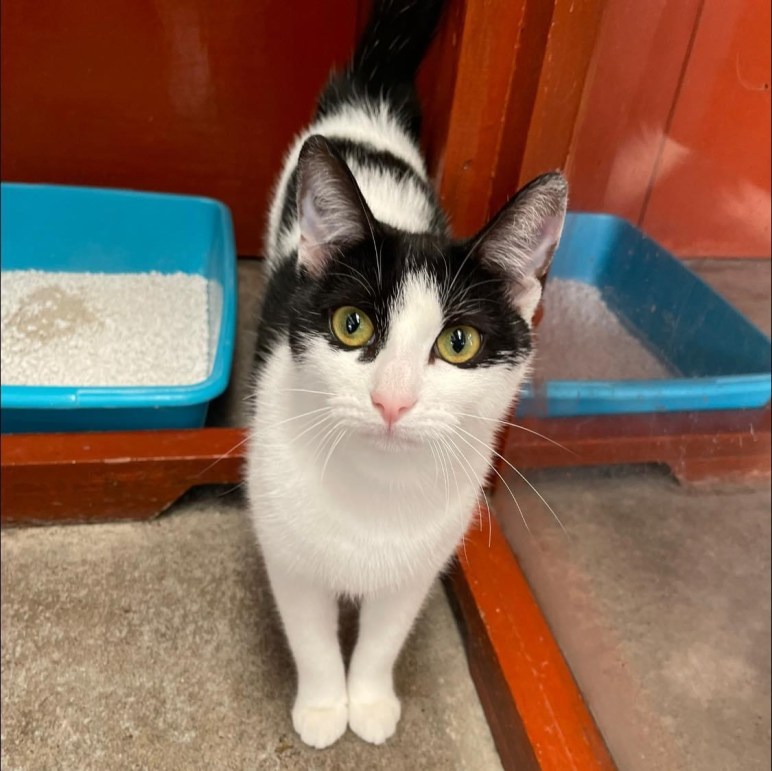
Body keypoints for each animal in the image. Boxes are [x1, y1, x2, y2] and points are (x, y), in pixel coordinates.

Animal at [246, 0, 567, 749]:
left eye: (458, 342)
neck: (378, 490)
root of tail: (366, 105)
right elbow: (310, 634)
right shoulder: (288, 552)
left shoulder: (419, 566)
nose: (391, 400)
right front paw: (324, 706)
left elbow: (383, 637)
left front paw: (367, 700)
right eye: (352, 326)